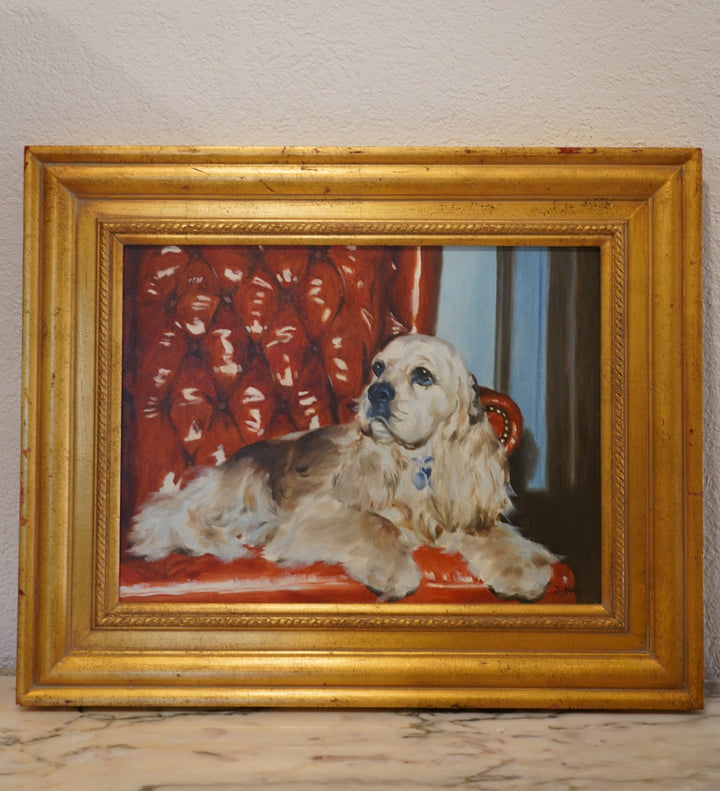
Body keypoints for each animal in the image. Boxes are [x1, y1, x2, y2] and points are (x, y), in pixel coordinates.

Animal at [129, 332, 556, 600]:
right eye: (378, 367)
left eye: (423, 375)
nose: (376, 393)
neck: (415, 465)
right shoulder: (317, 513)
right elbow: (375, 523)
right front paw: (394, 572)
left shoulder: (460, 513)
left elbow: (497, 533)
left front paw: (523, 569)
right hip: (236, 489)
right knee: (182, 520)